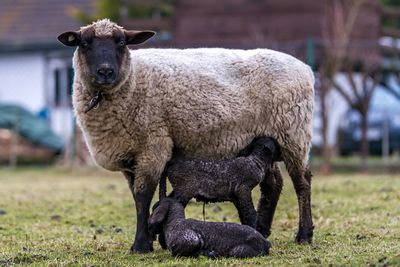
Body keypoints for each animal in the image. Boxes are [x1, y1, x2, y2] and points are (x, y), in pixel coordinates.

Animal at [57, 18, 316, 253]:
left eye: (121, 42)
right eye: (84, 43)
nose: (105, 72)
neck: (131, 81)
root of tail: (305, 69)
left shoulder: (153, 145)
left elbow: (143, 196)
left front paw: (141, 245)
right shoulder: (128, 153)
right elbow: (135, 197)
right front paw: (147, 239)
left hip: (294, 134)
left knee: (302, 182)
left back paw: (304, 235)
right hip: (267, 139)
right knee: (273, 184)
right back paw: (262, 229)